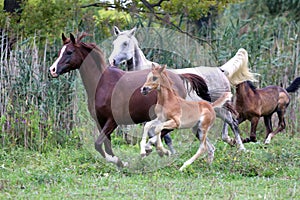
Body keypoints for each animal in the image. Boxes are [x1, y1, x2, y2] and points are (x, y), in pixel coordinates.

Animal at [49, 32, 211, 167]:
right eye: (60, 51)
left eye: (69, 52)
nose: (52, 70)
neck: (102, 84)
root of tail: (179, 77)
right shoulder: (100, 121)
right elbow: (105, 146)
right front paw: (120, 162)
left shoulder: (112, 121)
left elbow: (98, 144)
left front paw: (121, 162)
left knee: (166, 129)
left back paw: (152, 148)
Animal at [108, 27, 258, 152]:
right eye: (114, 43)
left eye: (125, 43)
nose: (112, 61)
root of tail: (220, 70)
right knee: (230, 121)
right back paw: (229, 141)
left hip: (220, 107)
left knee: (233, 122)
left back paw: (241, 147)